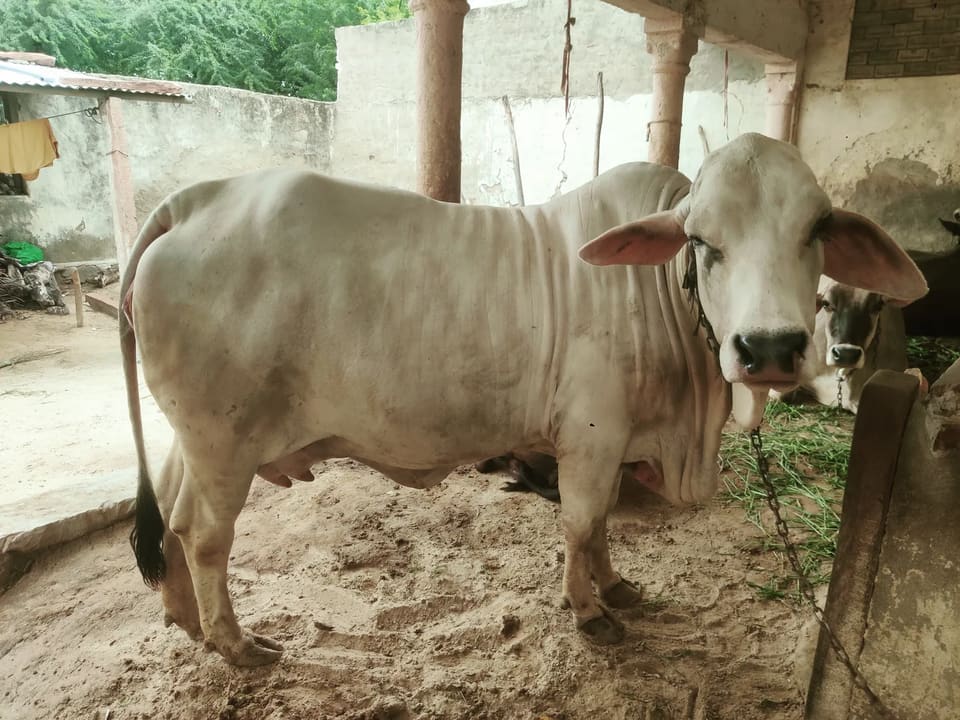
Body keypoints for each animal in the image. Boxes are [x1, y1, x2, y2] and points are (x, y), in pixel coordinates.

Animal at [121, 133, 927, 666]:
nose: (769, 348)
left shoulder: (618, 441)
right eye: (701, 240)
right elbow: (580, 520)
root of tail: (196, 199)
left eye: (817, 230)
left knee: (172, 515)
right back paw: (235, 642)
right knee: (205, 534)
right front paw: (588, 611)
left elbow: (601, 525)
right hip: (224, 442)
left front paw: (615, 586)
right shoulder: (592, 434)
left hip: (197, 439)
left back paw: (183, 619)